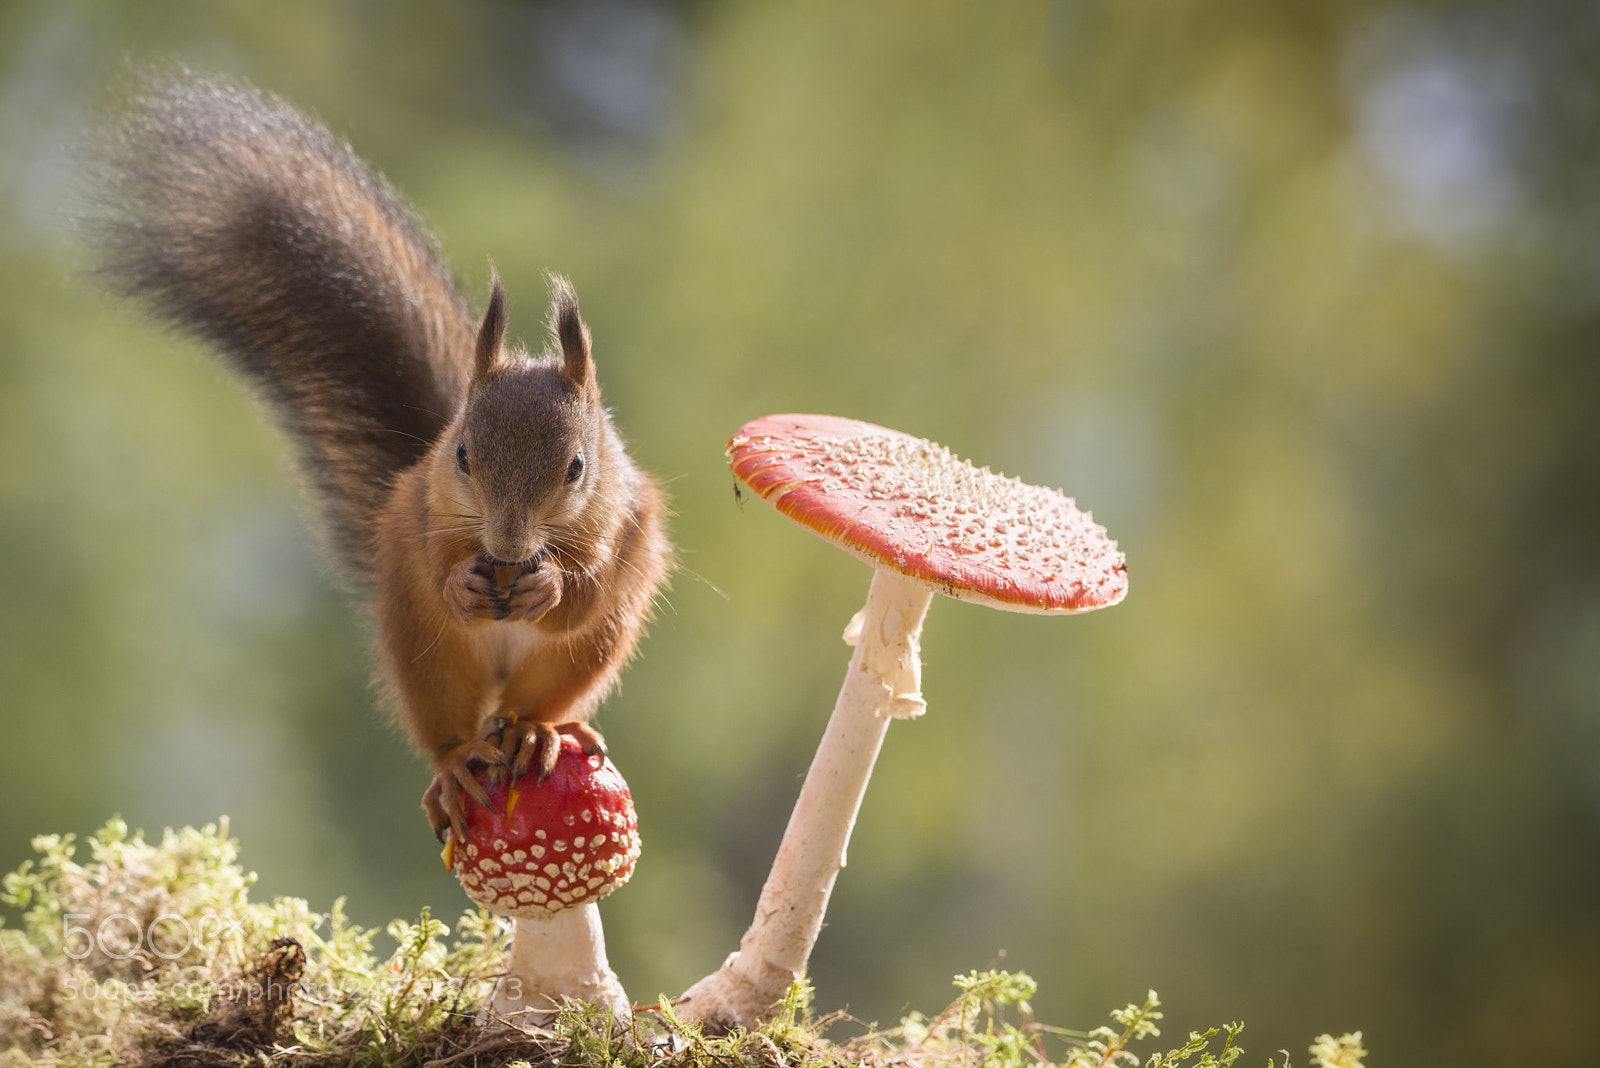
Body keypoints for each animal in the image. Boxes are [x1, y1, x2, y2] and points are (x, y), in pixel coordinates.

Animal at [88, 70, 671, 844]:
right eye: (461, 454)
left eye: (577, 467)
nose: (507, 547)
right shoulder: (424, 507)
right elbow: (437, 561)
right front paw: (462, 583)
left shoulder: (618, 525)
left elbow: (584, 594)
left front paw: (549, 586)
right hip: (425, 656)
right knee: (449, 731)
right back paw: (457, 766)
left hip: (584, 660)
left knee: (539, 698)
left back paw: (537, 732)